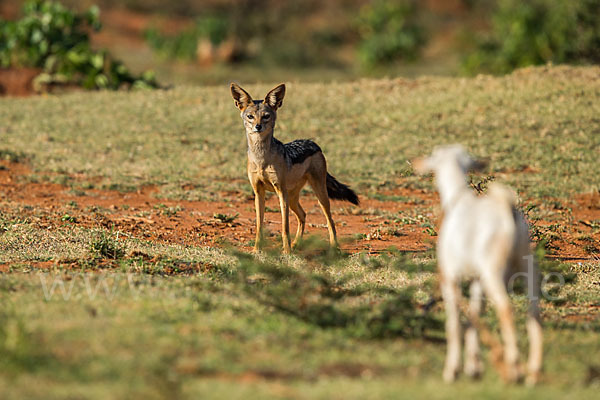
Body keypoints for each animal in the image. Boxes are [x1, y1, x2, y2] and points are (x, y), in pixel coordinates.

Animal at [414, 146, 540, 384]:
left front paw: (452, 371)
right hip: (526, 269)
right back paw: (532, 372)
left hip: (493, 272)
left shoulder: (450, 276)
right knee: (534, 312)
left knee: (506, 309)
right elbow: (474, 314)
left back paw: (514, 369)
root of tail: (507, 211)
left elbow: (454, 323)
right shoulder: (475, 280)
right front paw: (474, 368)